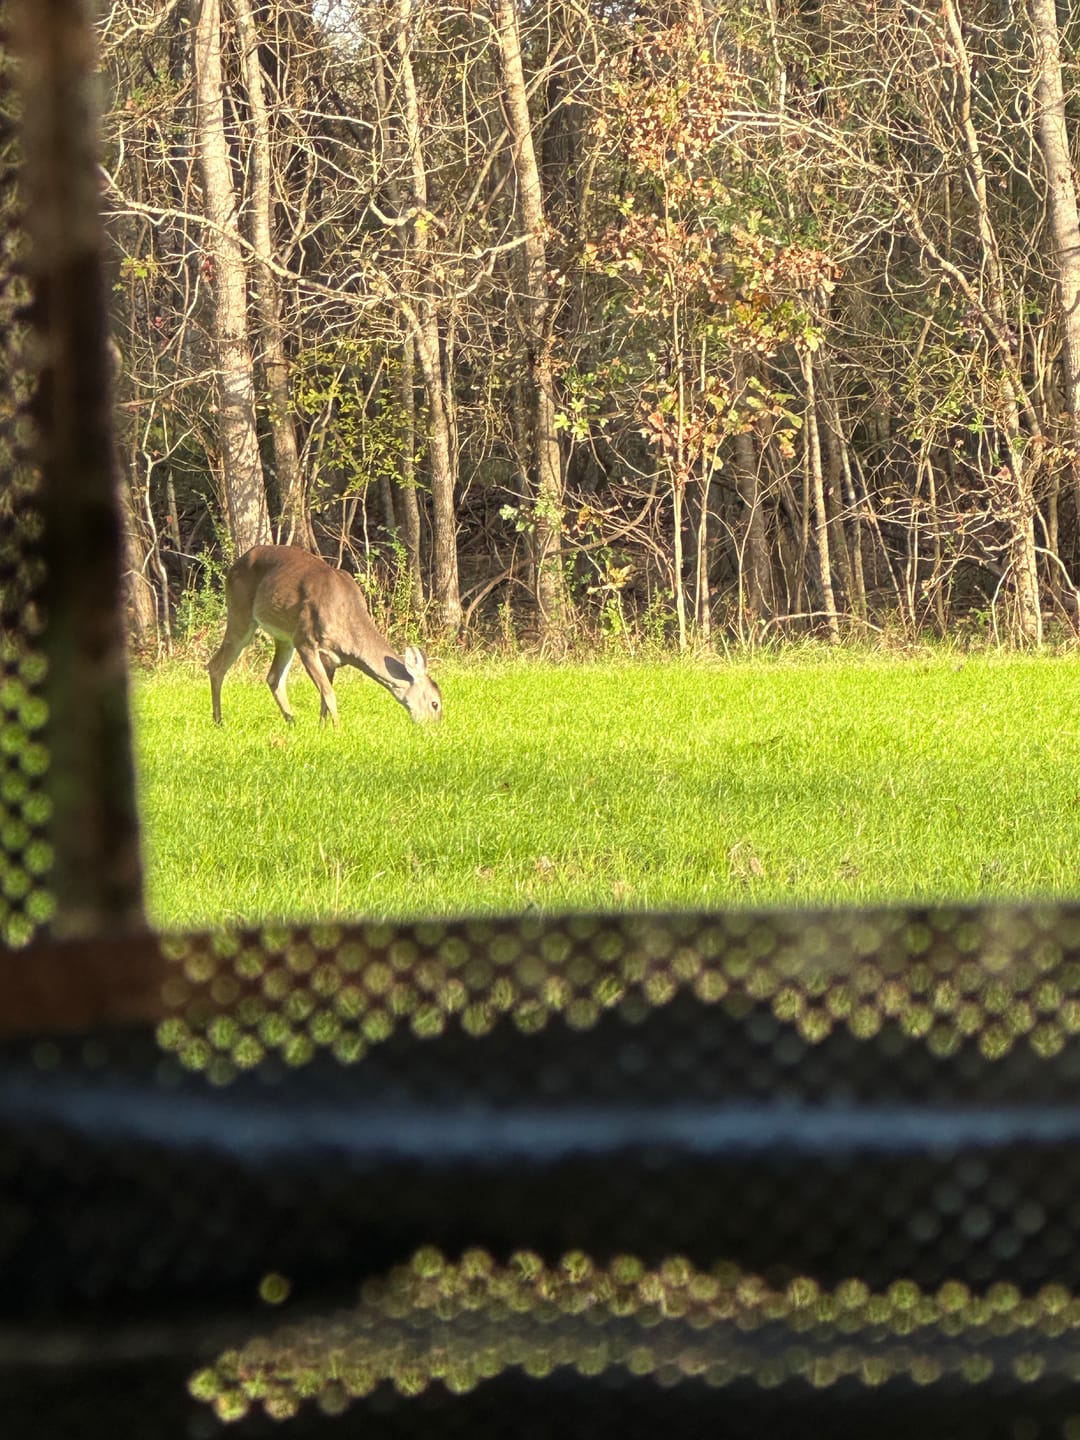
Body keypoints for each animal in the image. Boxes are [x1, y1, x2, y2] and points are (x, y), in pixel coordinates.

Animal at [208, 545, 443, 727]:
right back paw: (219, 722)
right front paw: (338, 729)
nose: (436, 729)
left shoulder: (332, 659)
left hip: (284, 635)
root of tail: (235, 564)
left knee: (274, 677)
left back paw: (292, 722)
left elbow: (324, 696)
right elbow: (330, 694)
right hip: (242, 614)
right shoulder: (306, 642)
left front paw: (322, 727)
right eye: (435, 703)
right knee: (216, 665)